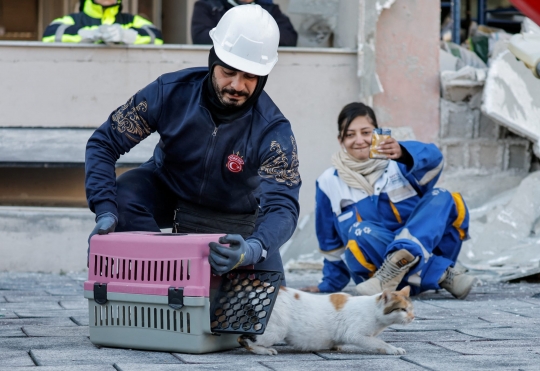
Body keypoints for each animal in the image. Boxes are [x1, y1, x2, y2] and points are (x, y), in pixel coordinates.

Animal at [239, 286, 414, 356]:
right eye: (402, 309)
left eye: (411, 309)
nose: (413, 317)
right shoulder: (356, 335)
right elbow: (380, 343)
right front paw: (394, 349)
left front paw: (334, 346)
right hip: (275, 329)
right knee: (244, 339)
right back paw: (264, 351)